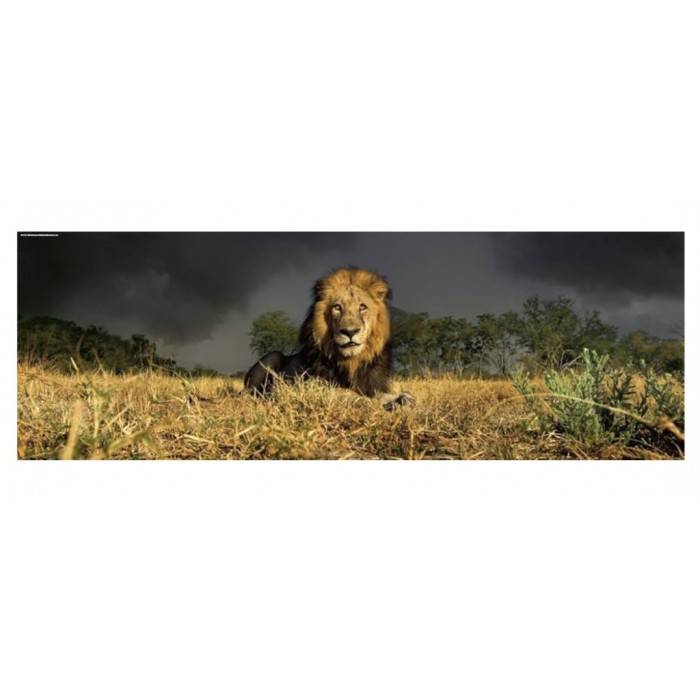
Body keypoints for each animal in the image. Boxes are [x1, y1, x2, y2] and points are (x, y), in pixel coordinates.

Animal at [244, 267, 415, 410]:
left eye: (362, 307)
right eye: (337, 307)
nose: (350, 331)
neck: (352, 362)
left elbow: (399, 393)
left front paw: (403, 399)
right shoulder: (314, 385)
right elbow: (346, 394)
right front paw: (375, 403)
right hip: (272, 356)